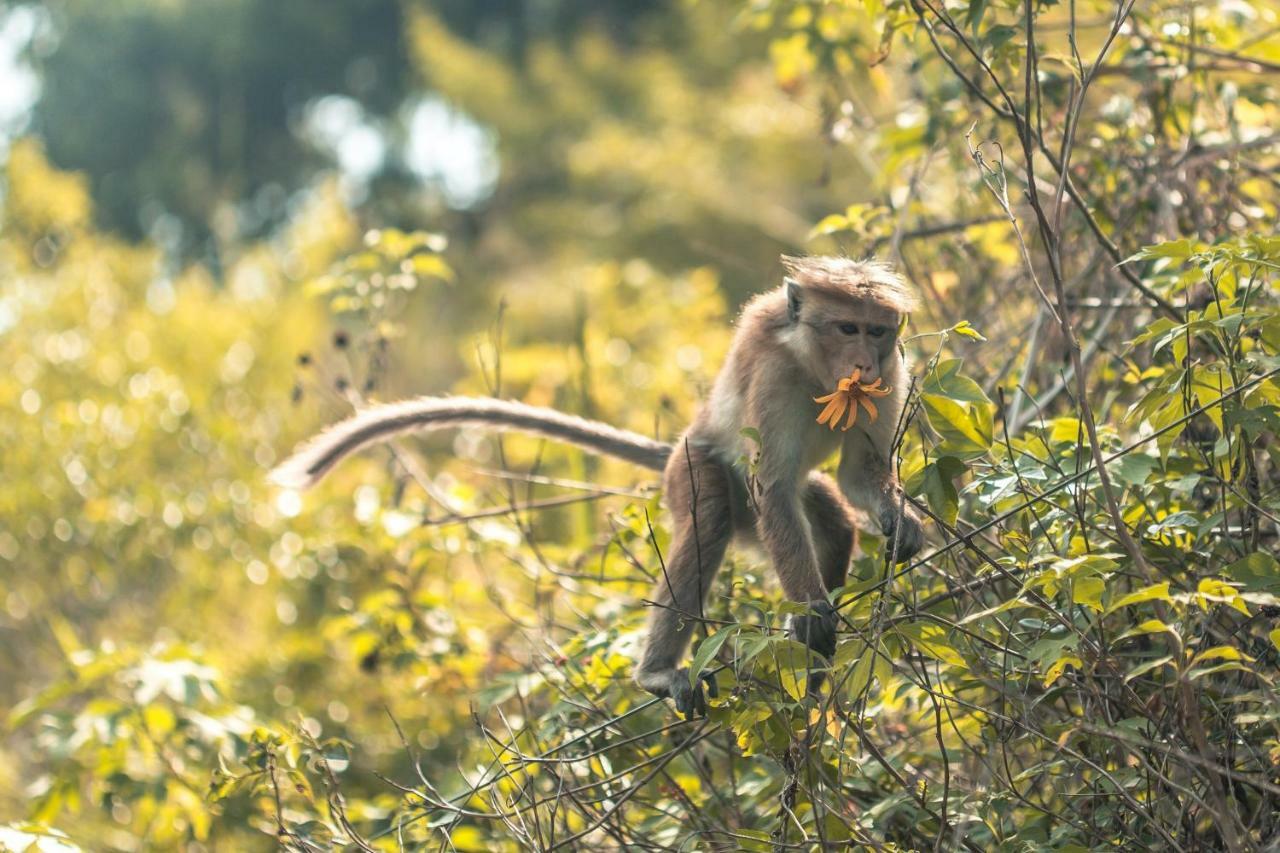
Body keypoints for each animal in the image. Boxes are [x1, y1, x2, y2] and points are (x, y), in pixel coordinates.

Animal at [275, 256, 926, 712]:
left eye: (877, 333)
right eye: (847, 328)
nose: (864, 364)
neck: (818, 373)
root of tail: (678, 443)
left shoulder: (893, 377)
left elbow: (856, 475)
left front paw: (901, 523)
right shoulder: (773, 377)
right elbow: (772, 485)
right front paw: (811, 611)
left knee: (830, 519)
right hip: (691, 467)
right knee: (718, 512)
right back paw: (663, 671)